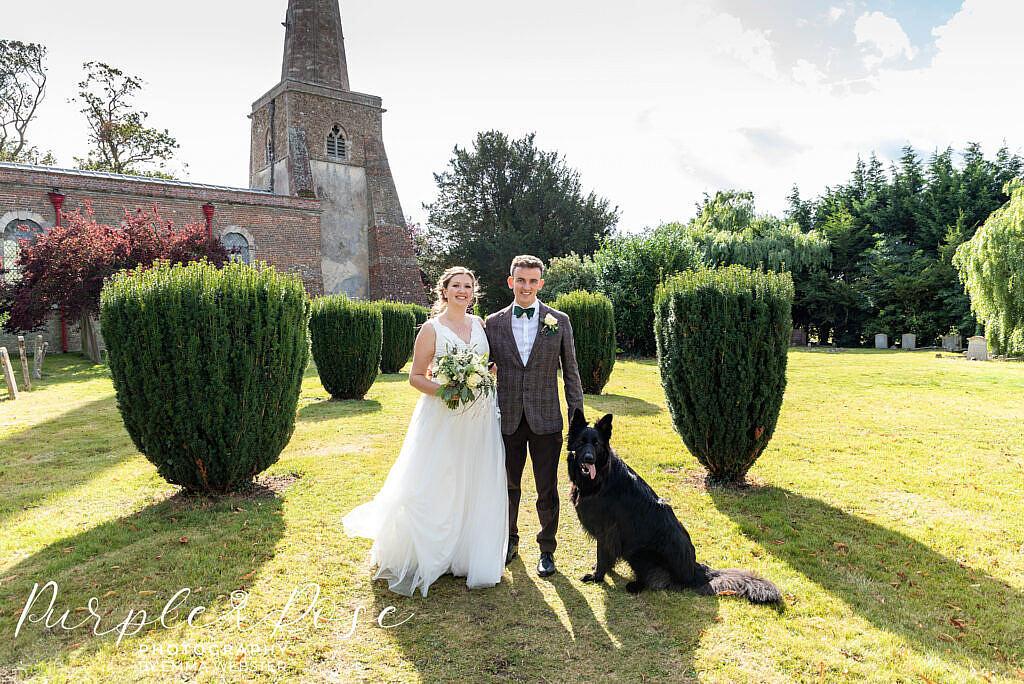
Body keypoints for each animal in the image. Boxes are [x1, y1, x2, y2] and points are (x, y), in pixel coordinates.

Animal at [573, 405, 778, 602]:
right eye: (581, 442)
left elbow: (603, 555)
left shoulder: (606, 530)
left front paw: (597, 576)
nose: (588, 459)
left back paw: (636, 586)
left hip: (639, 552)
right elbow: (607, 557)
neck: (601, 476)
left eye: (597, 444)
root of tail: (694, 569)